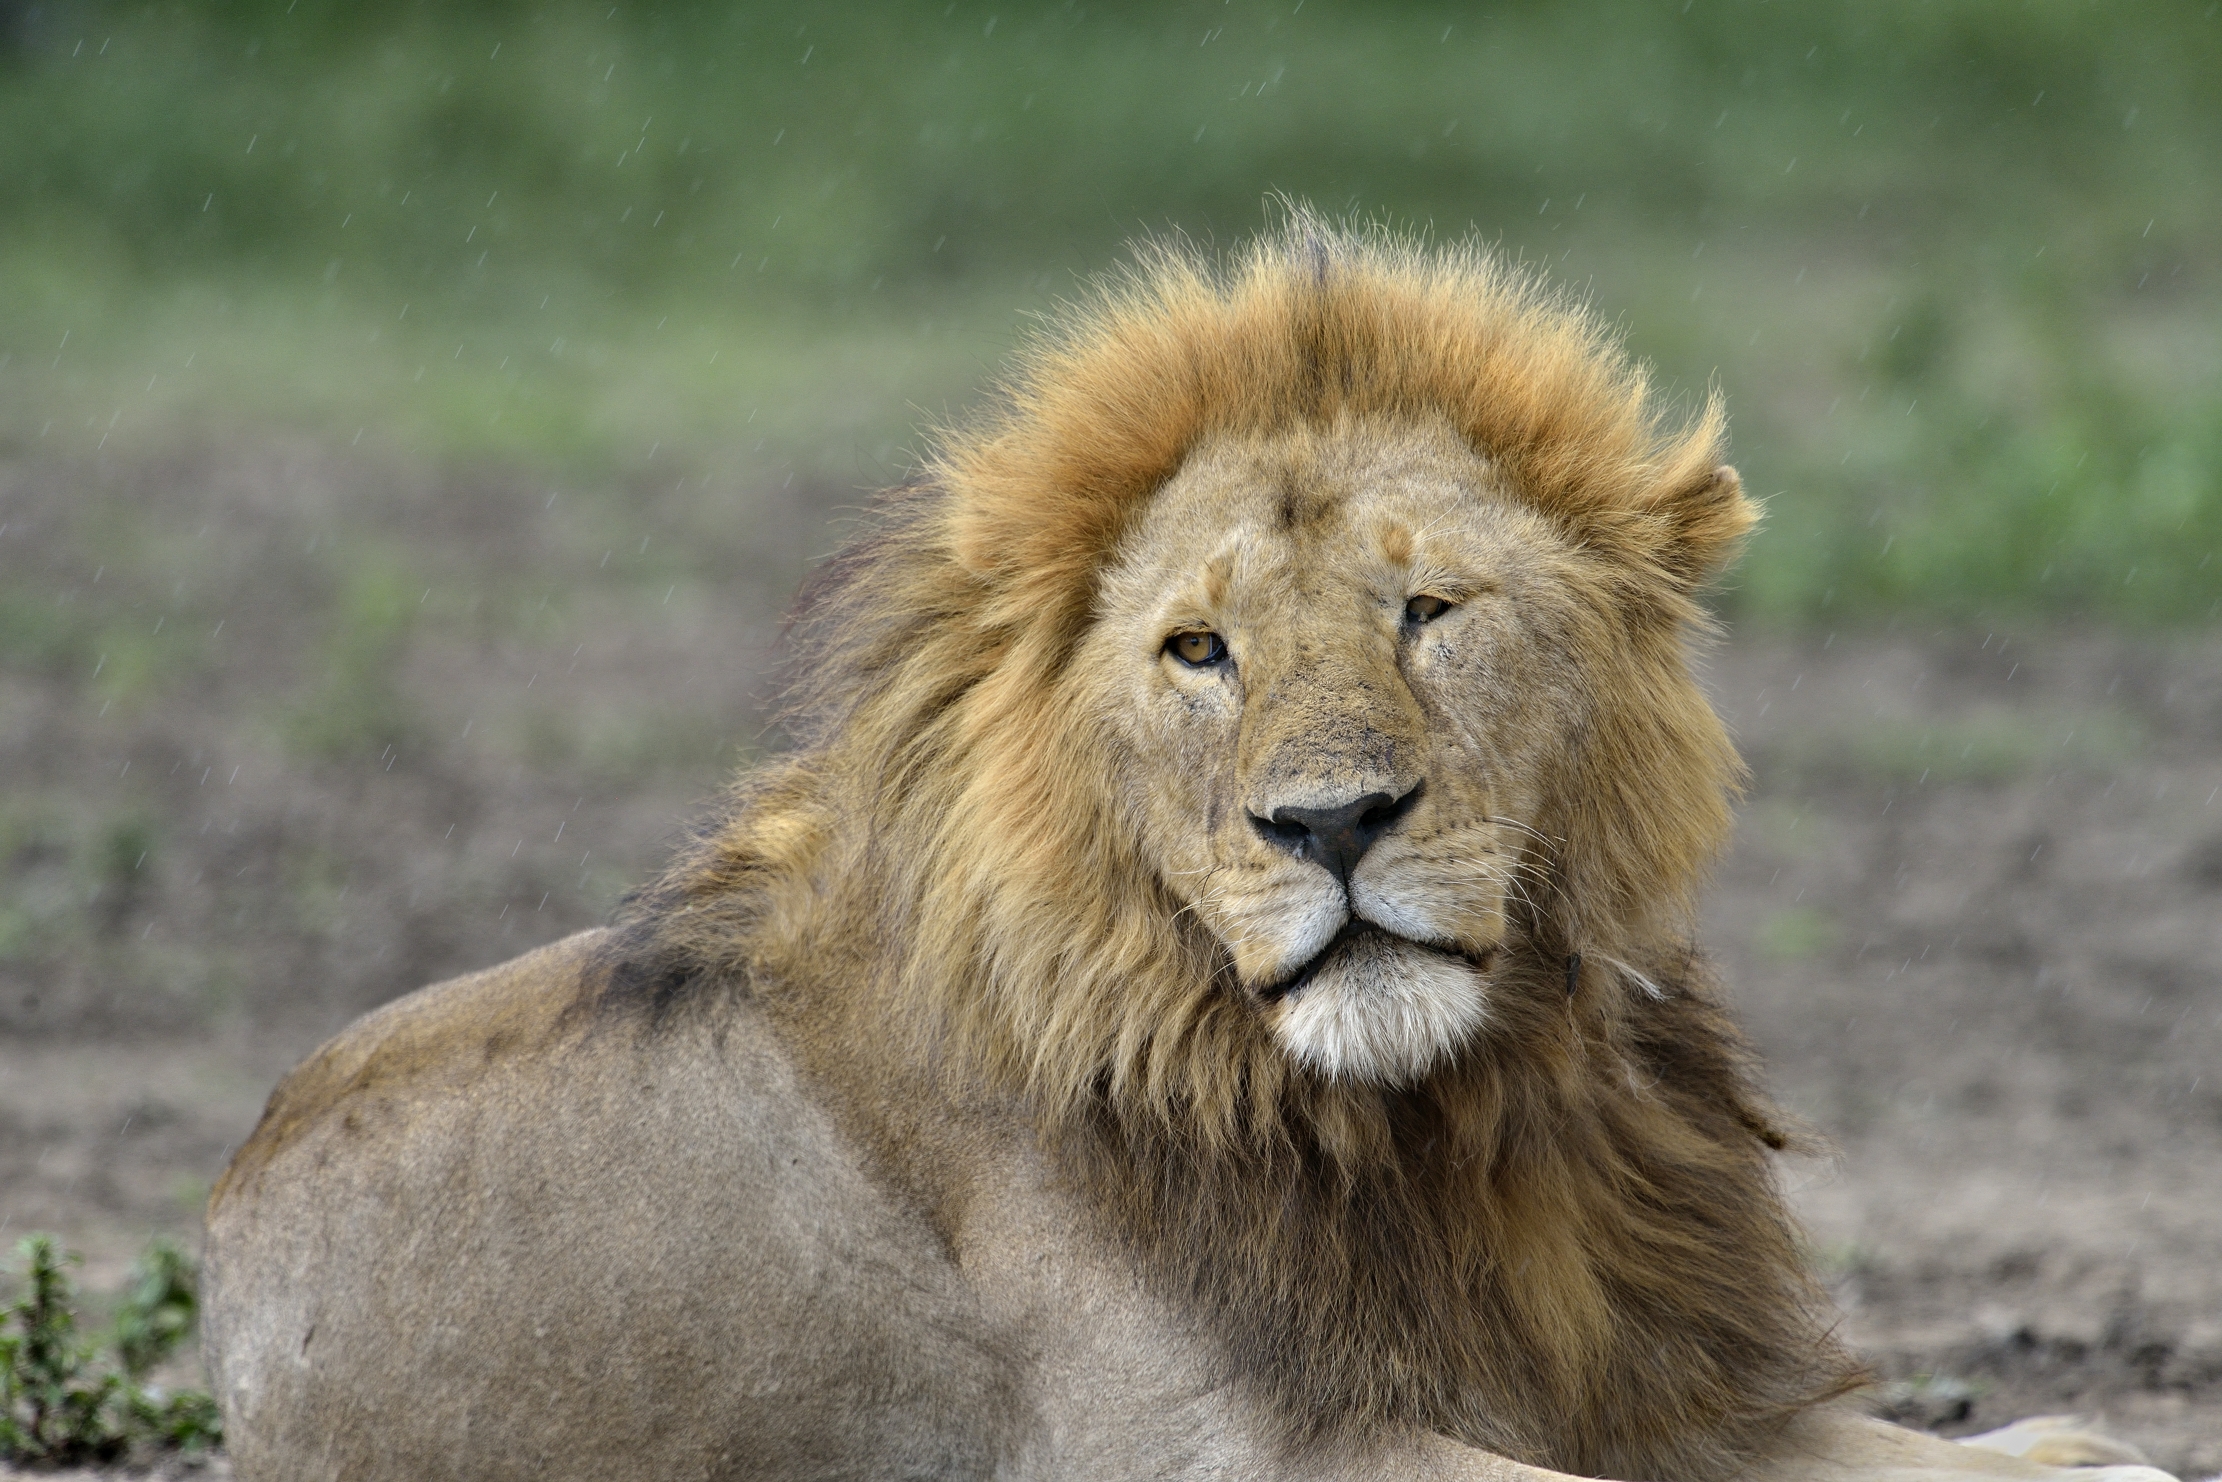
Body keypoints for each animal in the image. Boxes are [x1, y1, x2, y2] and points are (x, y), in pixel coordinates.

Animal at [201, 217, 2174, 1482]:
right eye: (1198, 649)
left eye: (1426, 610)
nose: (1330, 821)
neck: (1450, 1114)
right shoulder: (1216, 1447)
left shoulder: (1656, 1381)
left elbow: (2050, 1451)